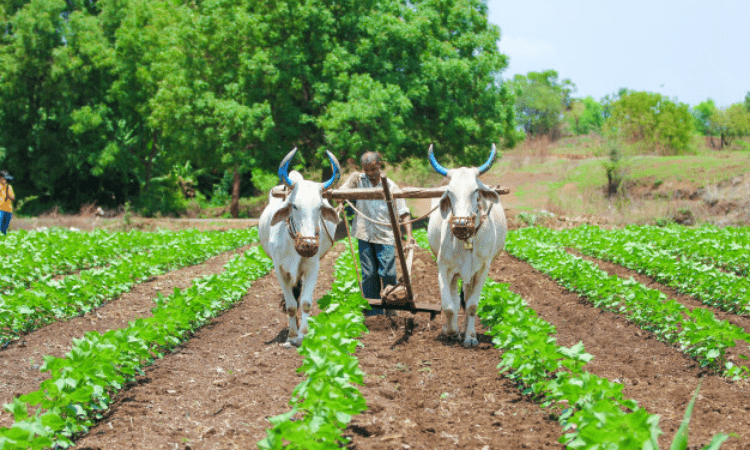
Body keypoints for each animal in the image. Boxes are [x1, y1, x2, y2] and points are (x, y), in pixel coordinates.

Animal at [259, 147, 341, 347]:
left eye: (319, 207)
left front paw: (303, 334)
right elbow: (290, 306)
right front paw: (292, 335)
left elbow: (305, 303)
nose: (308, 246)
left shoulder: (312, 266)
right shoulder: (279, 269)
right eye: (294, 206)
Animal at [427, 144, 508, 347]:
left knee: (466, 297)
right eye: (450, 192)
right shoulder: (443, 267)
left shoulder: (483, 269)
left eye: (475, 191)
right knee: (455, 299)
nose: (461, 224)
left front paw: (470, 337)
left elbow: (471, 305)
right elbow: (449, 305)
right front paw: (451, 331)